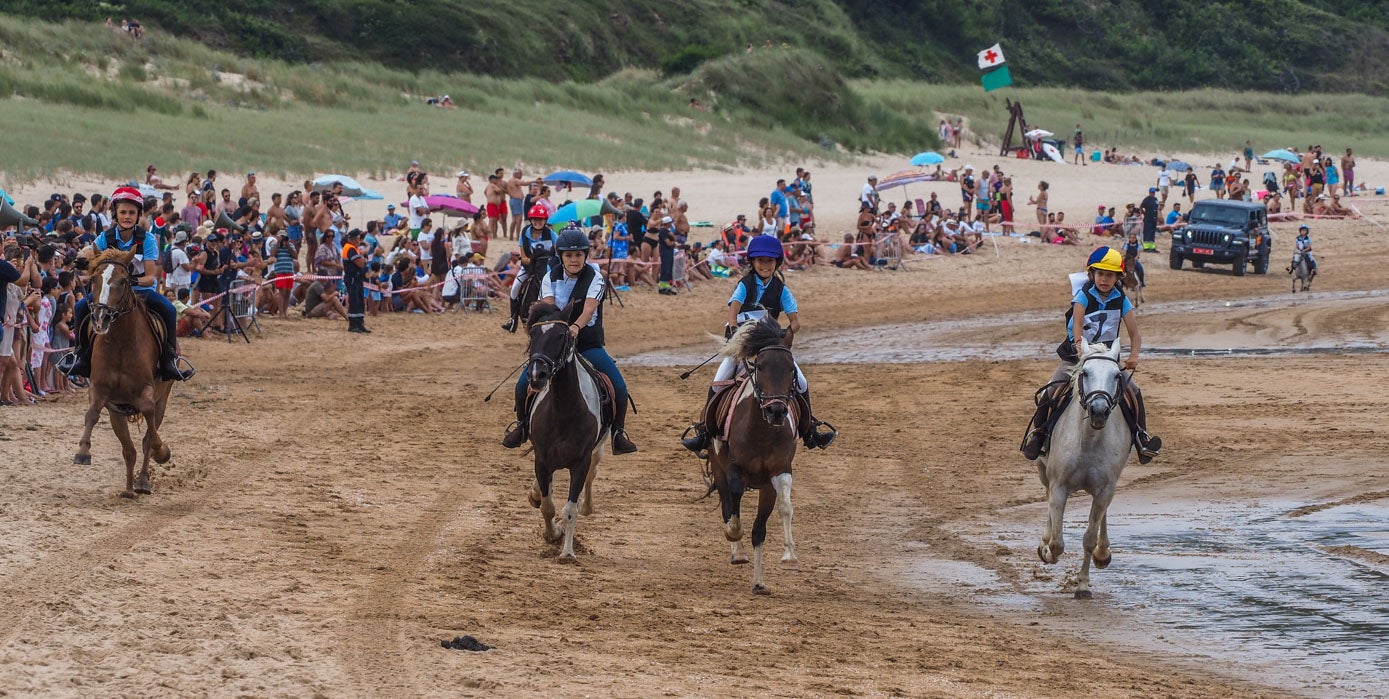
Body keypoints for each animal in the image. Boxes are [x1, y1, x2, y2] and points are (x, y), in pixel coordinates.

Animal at [73, 250, 173, 497]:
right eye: (94, 279)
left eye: (123, 281)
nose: (100, 317)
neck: (120, 343)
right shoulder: (100, 390)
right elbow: (91, 414)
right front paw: (83, 452)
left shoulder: (147, 392)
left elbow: (149, 423)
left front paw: (162, 451)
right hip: (116, 413)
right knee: (129, 450)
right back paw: (128, 489)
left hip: (163, 399)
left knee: (147, 439)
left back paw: (143, 481)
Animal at [522, 304, 608, 561]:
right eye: (533, 335)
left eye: (561, 336)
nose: (536, 375)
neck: (563, 409)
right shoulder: (542, 461)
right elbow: (547, 506)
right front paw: (553, 534)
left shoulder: (580, 463)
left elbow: (569, 510)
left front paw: (567, 551)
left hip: (599, 449)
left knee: (592, 475)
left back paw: (586, 506)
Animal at [711, 319, 800, 594]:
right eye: (760, 367)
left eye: (791, 368)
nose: (776, 411)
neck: (762, 432)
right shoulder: (733, 468)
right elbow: (734, 501)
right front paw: (733, 533)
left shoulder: (779, 472)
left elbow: (783, 509)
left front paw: (788, 557)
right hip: (718, 469)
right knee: (727, 504)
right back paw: (737, 552)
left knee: (759, 527)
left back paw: (758, 581)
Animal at [1038, 340, 1133, 603]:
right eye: (1086, 373)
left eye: (1116, 375)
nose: (1099, 410)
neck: (1089, 438)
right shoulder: (1059, 486)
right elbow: (1058, 542)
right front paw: (1048, 552)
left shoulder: (1104, 490)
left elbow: (1089, 538)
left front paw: (1082, 585)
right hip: (1042, 471)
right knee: (1048, 500)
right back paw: (1045, 543)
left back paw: (1103, 552)